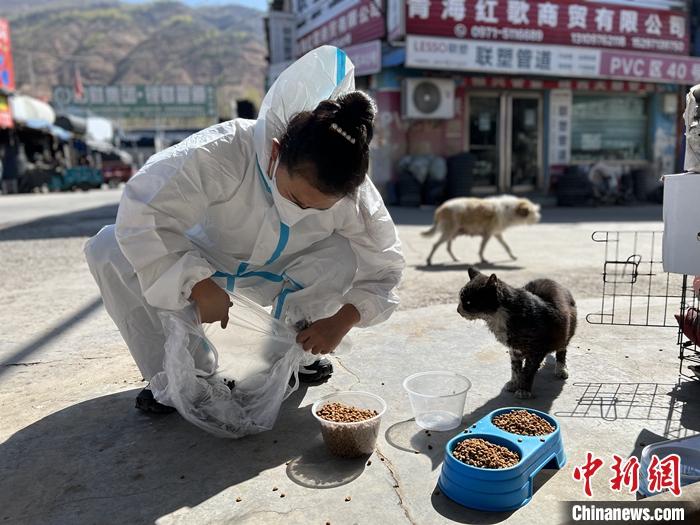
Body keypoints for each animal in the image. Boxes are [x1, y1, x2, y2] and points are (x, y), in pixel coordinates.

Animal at [456, 268, 576, 400]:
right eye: (460, 298)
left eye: (468, 302)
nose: (458, 310)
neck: (497, 317)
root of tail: (557, 283)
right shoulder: (515, 349)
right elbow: (515, 368)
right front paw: (514, 383)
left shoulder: (536, 349)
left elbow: (528, 371)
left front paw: (523, 389)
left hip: (565, 333)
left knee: (562, 350)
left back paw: (561, 369)